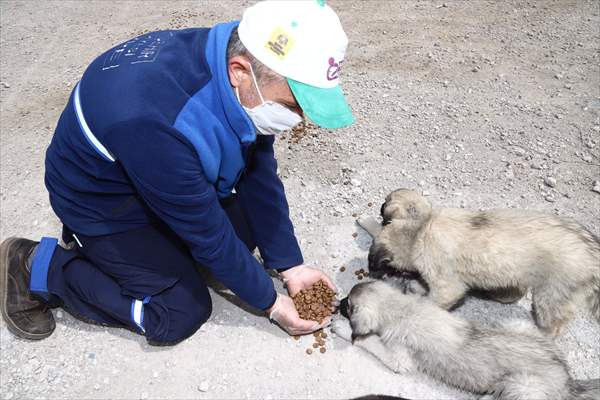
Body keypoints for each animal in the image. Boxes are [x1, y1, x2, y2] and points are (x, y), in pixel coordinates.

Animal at [332, 282, 600, 400]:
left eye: (349, 305)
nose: (338, 302)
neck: (401, 308)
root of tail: (567, 379)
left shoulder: (398, 358)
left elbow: (369, 342)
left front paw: (342, 328)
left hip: (523, 387)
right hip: (517, 325)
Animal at [358, 189, 600, 336]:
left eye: (372, 263)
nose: (381, 205)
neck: (421, 229)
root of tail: (592, 252)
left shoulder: (447, 286)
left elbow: (431, 301)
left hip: (550, 296)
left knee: (553, 326)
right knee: (513, 293)